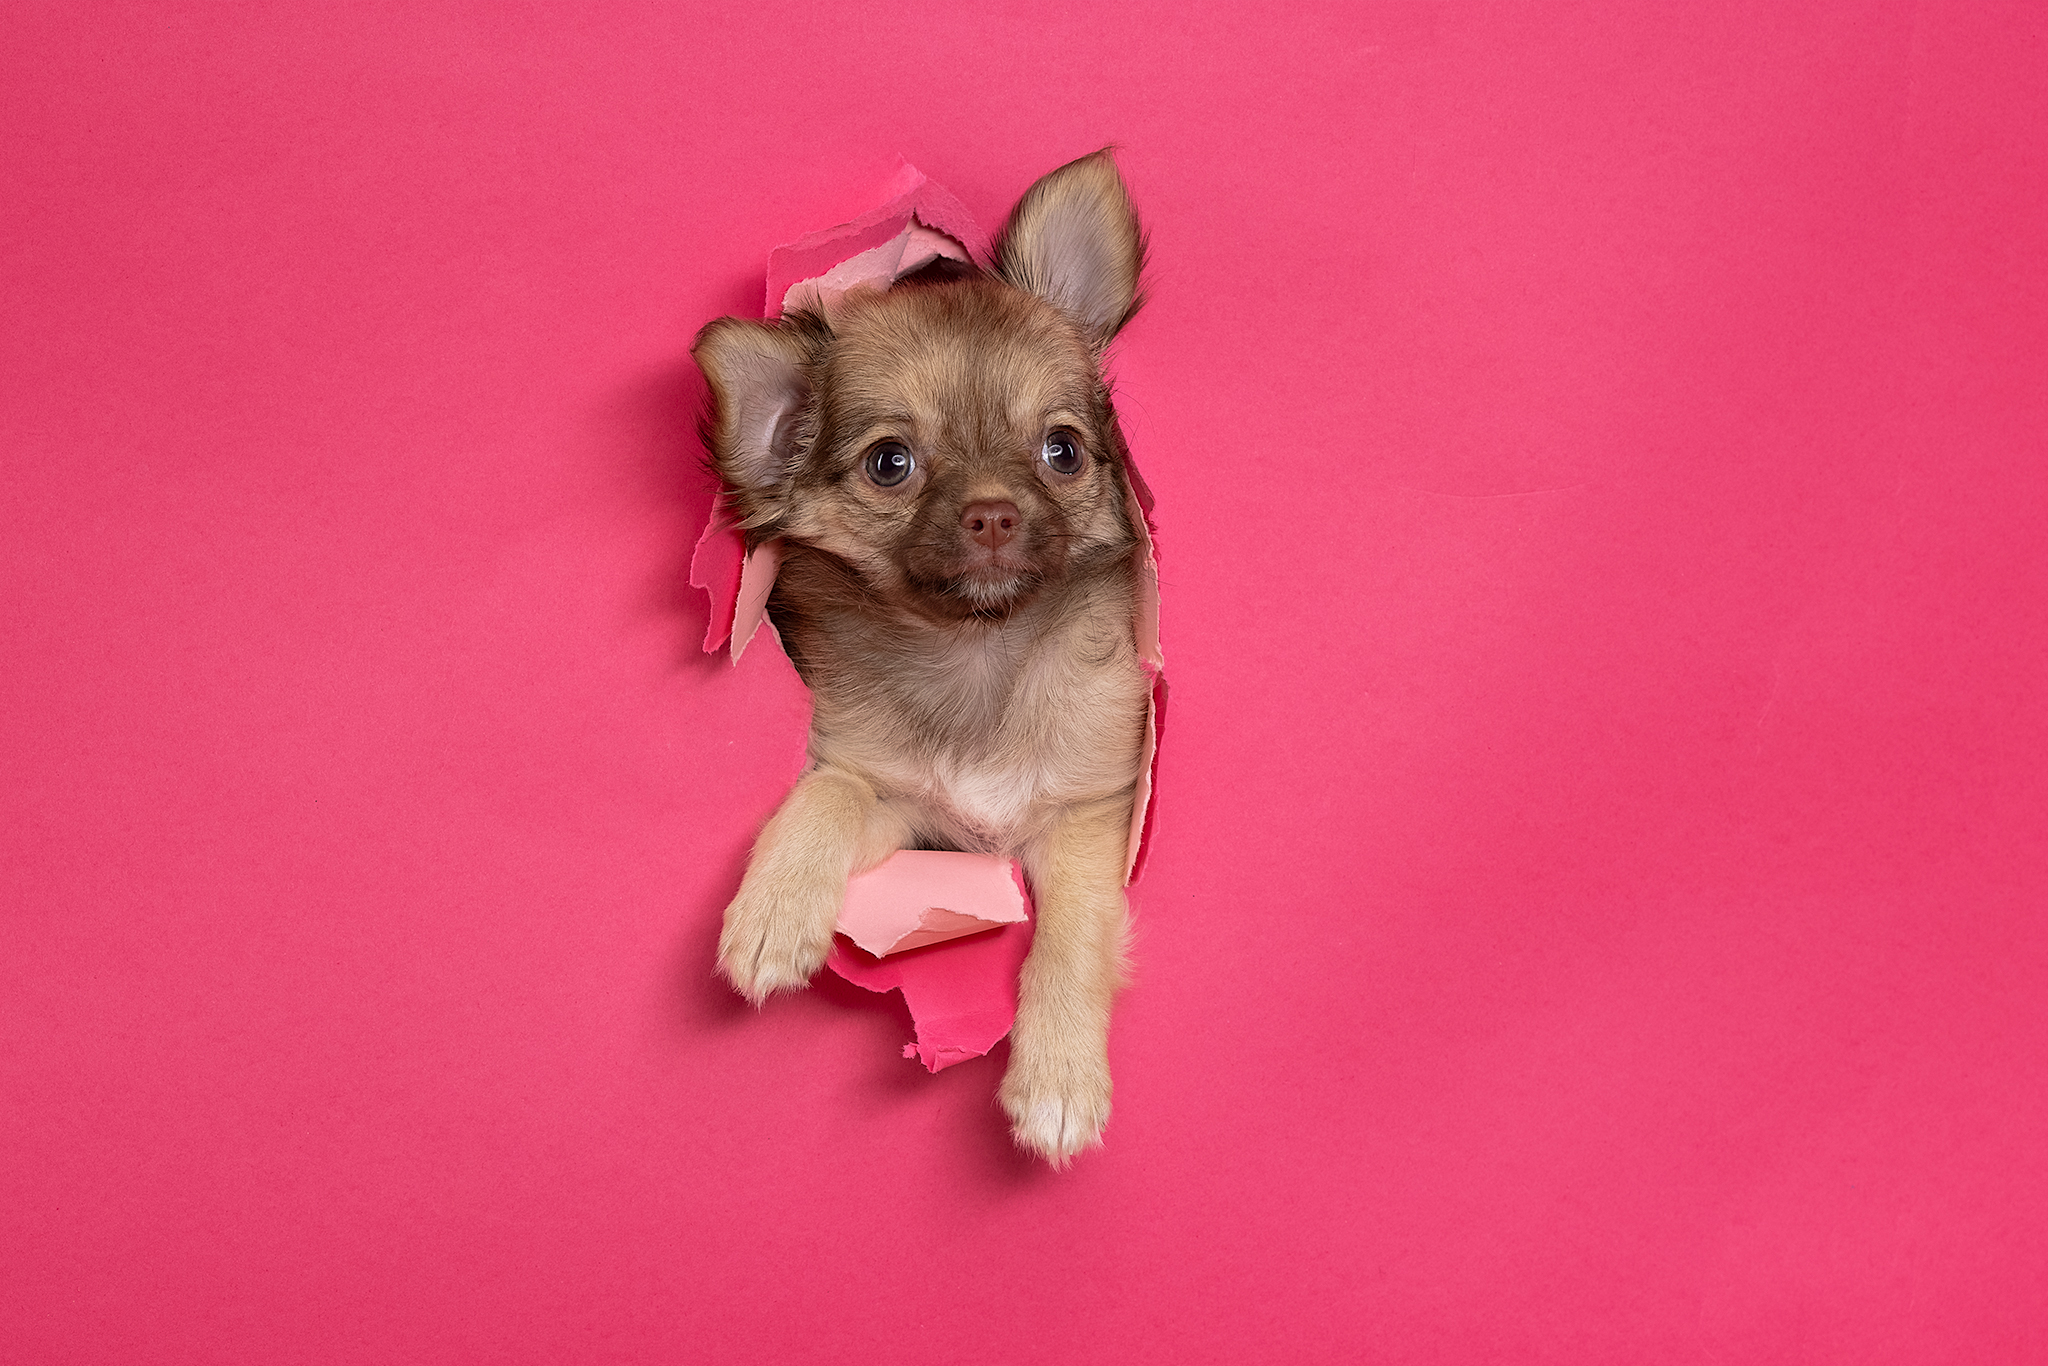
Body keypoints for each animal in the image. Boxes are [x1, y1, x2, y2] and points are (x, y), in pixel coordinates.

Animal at [696, 154, 1155, 1171]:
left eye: (1062, 449)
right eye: (890, 463)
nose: (992, 513)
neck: (978, 649)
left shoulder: (1086, 818)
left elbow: (1071, 937)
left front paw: (1058, 1082)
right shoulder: (904, 808)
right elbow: (828, 793)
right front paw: (773, 914)